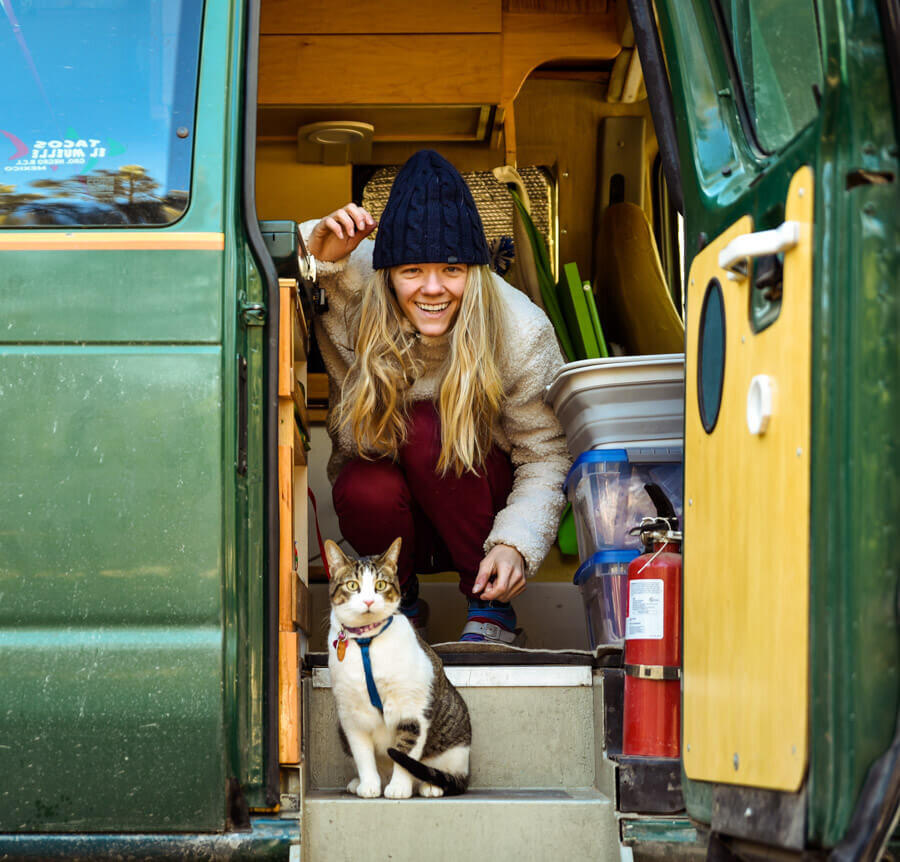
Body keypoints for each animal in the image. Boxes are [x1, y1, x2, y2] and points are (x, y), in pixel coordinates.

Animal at [326, 536, 474, 800]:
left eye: (381, 585)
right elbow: (362, 755)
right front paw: (369, 785)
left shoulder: (412, 710)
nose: (368, 600)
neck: (367, 643)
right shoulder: (351, 715)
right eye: (353, 585)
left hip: (455, 746)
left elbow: (405, 753)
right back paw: (361, 782)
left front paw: (399, 788)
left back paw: (430, 786)